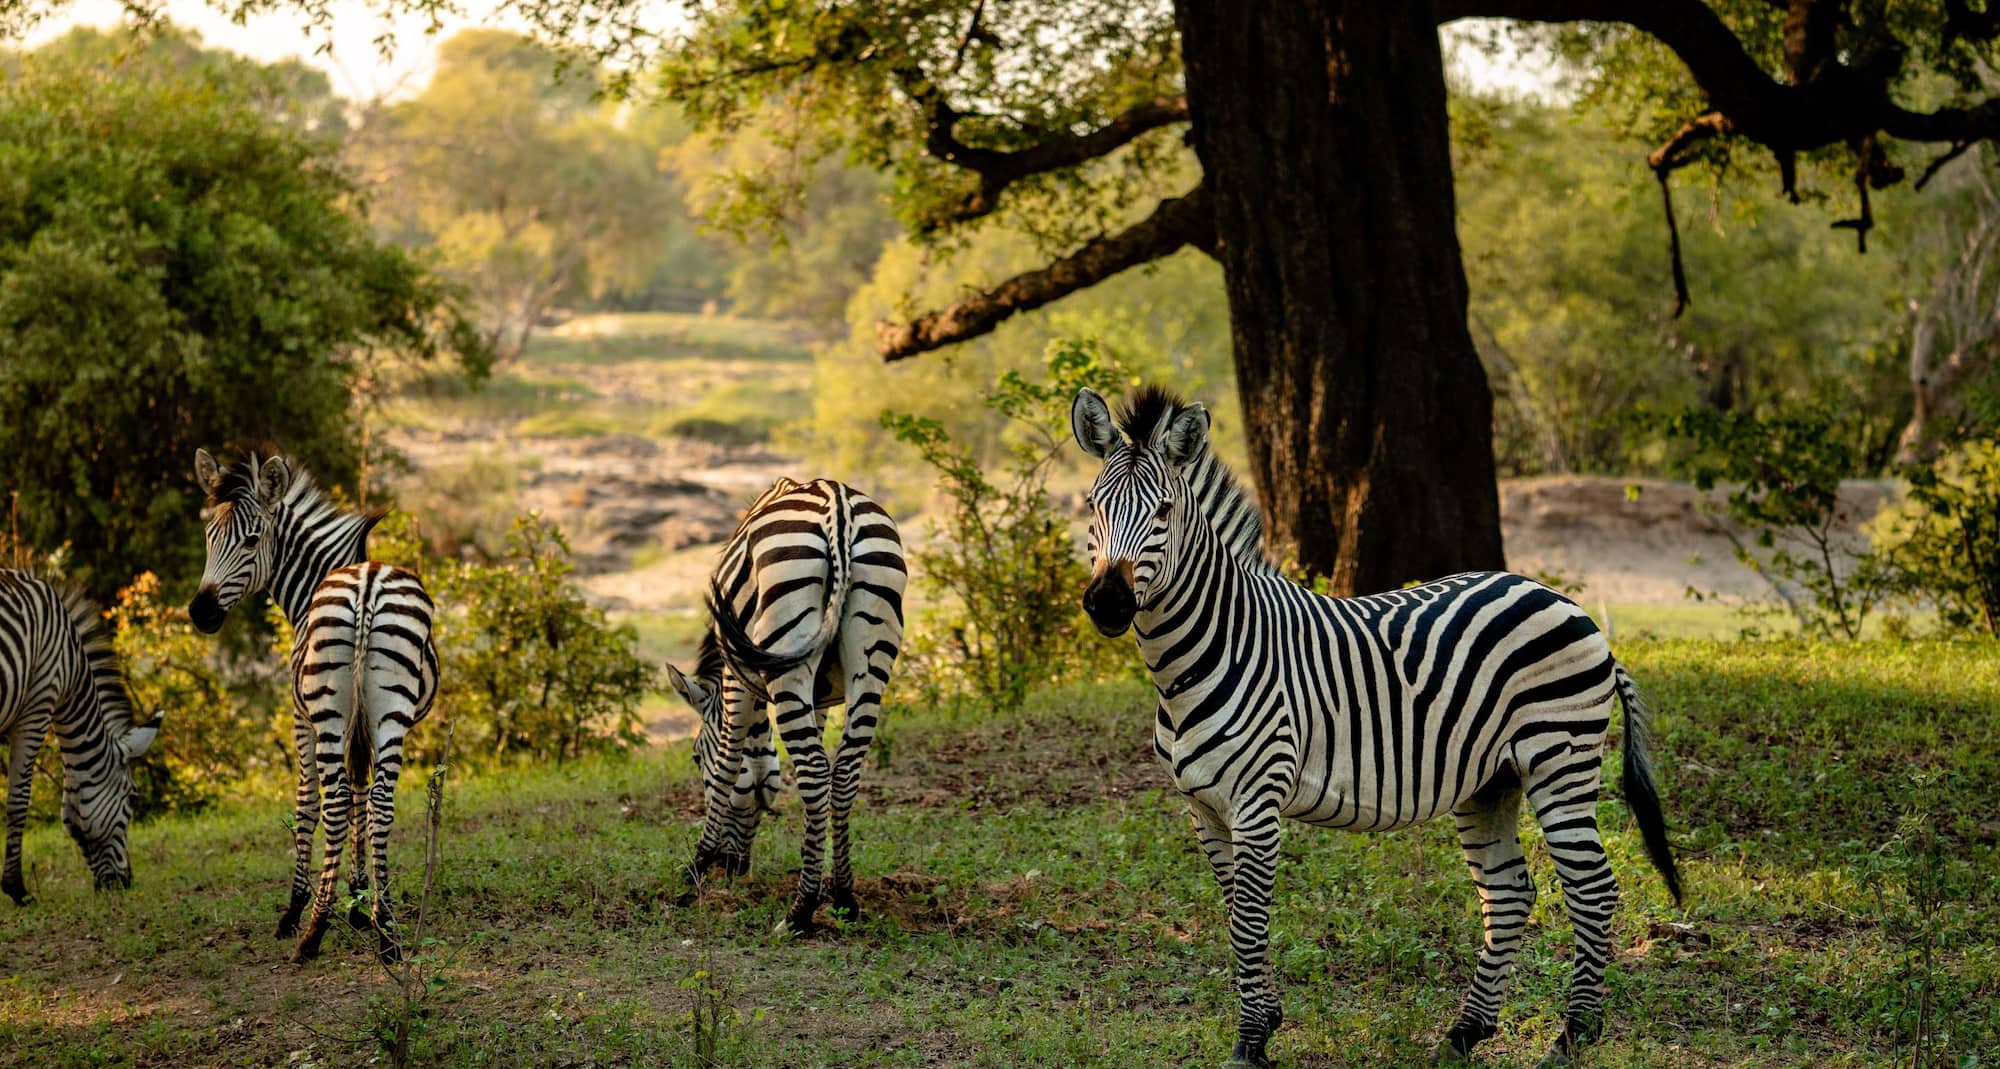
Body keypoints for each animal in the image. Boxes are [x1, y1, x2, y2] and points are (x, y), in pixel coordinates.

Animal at [1, 570, 159, 903]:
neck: (71, 669)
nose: (125, 883)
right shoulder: (36, 706)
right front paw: (16, 889)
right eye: (132, 797)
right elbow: (18, 801)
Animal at [187, 448, 439, 964]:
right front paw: (362, 902)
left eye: (252, 540)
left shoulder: (300, 717)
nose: (200, 613)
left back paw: (313, 930)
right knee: (380, 800)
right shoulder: (363, 724)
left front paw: (295, 908)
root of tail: (367, 586)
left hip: (325, 713)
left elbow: (307, 801)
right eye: (208, 536)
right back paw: (388, 934)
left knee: (334, 798)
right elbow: (363, 793)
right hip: (392, 712)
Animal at [664, 477, 905, 935]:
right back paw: (844, 898)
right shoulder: (819, 698)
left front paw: (695, 867)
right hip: (871, 655)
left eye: (694, 757)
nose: (733, 868)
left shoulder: (735, 676)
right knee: (842, 772)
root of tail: (838, 506)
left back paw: (800, 911)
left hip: (787, 638)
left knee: (813, 771)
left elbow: (727, 765)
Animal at [1069, 386, 1682, 1069]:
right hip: (1491, 782)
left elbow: (1249, 920)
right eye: (1093, 508)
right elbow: (1234, 913)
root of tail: (1568, 604)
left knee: (1593, 888)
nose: (1108, 603)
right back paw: (1465, 1032)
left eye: (1165, 511)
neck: (1201, 656)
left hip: (1560, 762)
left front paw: (1251, 1042)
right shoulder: (1201, 806)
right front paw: (1264, 1021)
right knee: (1508, 893)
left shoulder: (1257, 801)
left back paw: (1573, 1035)